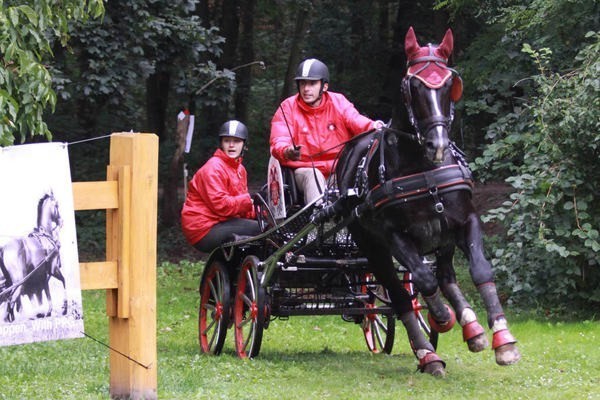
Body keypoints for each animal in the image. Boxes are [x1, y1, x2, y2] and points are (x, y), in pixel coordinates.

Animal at [0, 191, 67, 322]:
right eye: (57, 205)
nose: (61, 221)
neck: (46, 236)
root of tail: (4, 248)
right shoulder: (53, 269)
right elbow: (63, 281)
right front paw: (64, 308)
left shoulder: (41, 278)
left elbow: (46, 294)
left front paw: (47, 312)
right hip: (19, 281)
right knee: (11, 301)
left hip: (13, 282)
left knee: (10, 302)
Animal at [318, 27, 520, 376]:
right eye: (413, 85)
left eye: (450, 84)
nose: (436, 144)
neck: (422, 168)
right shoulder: (393, 236)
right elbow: (422, 281)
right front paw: (440, 317)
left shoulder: (464, 220)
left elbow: (480, 270)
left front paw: (502, 339)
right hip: (372, 246)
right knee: (401, 294)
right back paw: (428, 353)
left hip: (441, 238)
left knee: (446, 276)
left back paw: (472, 328)